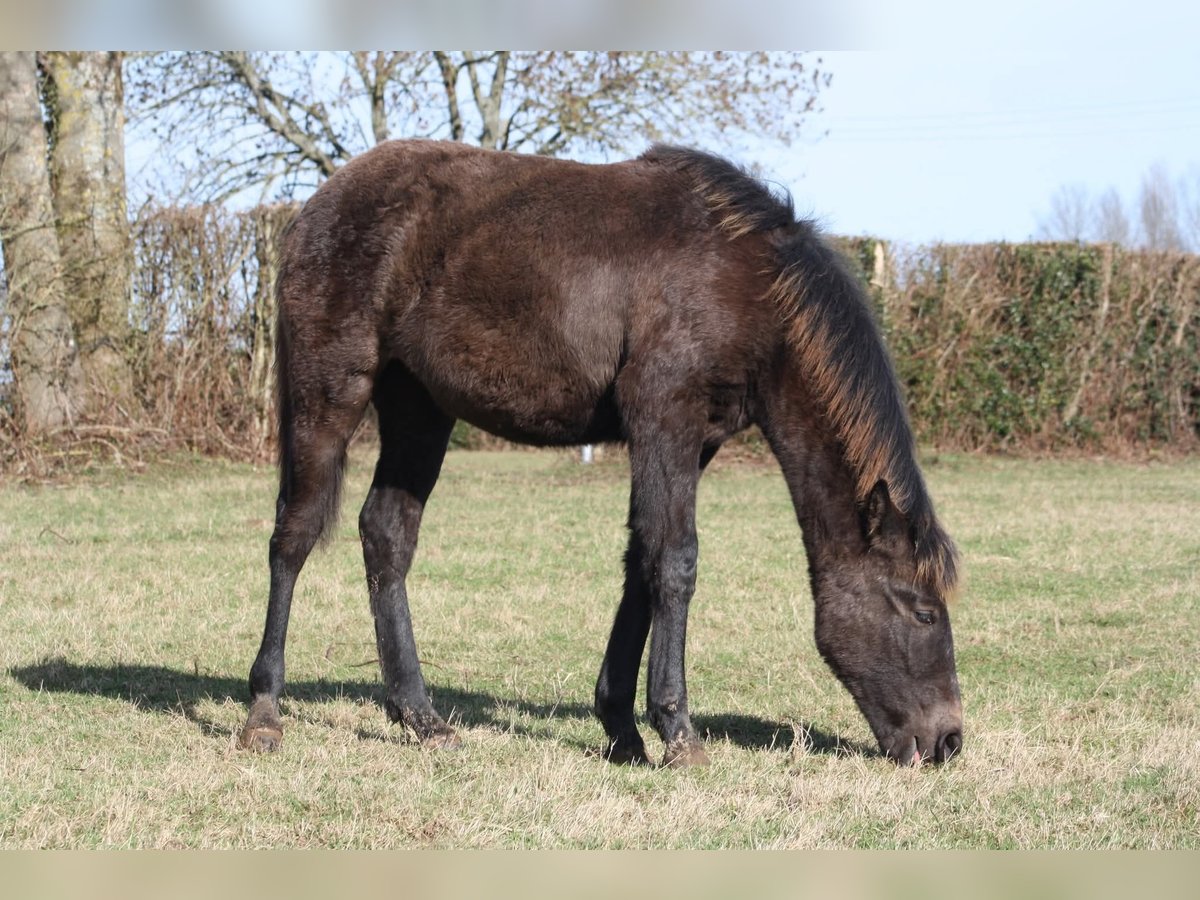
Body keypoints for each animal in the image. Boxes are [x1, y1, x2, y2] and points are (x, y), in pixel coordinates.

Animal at [238, 139, 963, 768]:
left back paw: (420, 716)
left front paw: (622, 728)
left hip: (419, 409)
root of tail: (316, 208)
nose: (950, 740)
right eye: (922, 610)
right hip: (331, 390)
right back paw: (264, 711)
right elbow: (676, 562)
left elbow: (642, 562)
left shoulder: (691, 438)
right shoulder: (664, 416)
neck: (747, 285)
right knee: (293, 536)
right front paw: (677, 729)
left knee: (386, 536)